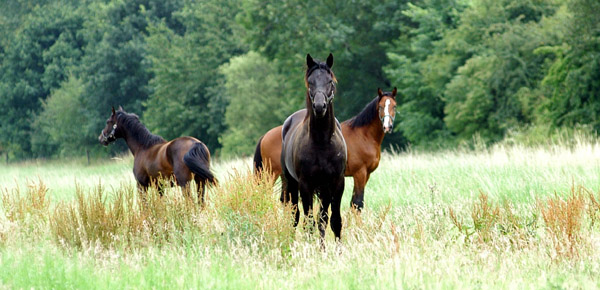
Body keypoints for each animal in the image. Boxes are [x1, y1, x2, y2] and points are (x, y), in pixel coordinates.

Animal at [254, 86, 398, 211]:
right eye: (381, 106)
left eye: (394, 106)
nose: (388, 126)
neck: (363, 135)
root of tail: (265, 136)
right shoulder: (360, 173)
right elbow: (357, 203)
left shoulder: (366, 174)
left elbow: (354, 204)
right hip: (271, 173)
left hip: (285, 176)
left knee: (285, 200)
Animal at [278, 53, 344, 242]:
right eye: (310, 81)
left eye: (330, 81)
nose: (320, 106)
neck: (322, 143)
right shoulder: (305, 185)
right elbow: (309, 222)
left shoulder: (336, 183)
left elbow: (331, 221)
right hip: (291, 184)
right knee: (295, 216)